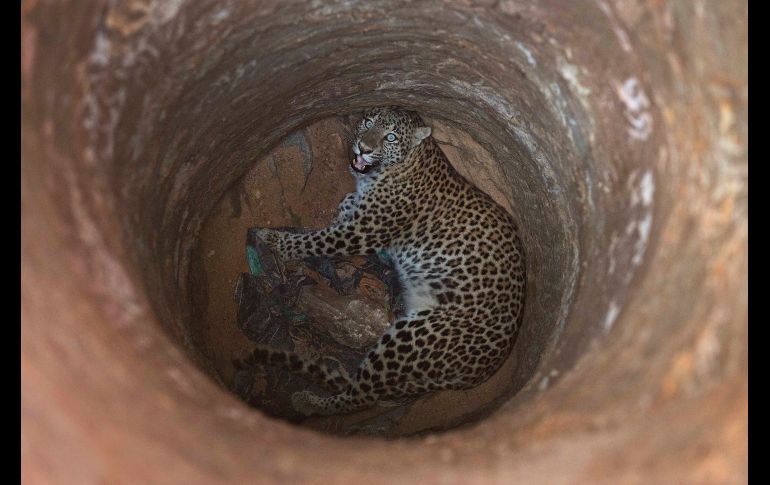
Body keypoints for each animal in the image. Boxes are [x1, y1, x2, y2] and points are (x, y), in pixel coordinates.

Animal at [241, 106, 526, 416]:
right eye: (368, 123)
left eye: (390, 137)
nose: (363, 148)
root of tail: (483, 372)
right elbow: (345, 203)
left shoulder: (363, 232)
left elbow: (315, 241)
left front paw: (274, 241)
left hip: (412, 337)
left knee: (361, 396)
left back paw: (307, 401)